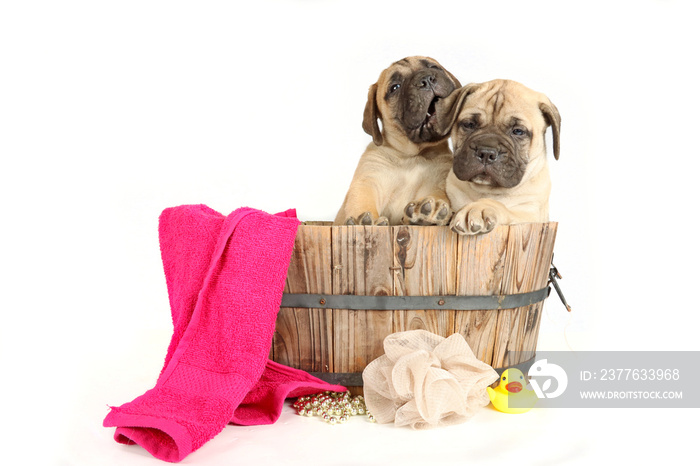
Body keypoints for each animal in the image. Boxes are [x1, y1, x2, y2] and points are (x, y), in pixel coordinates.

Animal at [336, 57, 462, 225]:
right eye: (395, 87)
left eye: (434, 67)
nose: (426, 79)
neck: (411, 155)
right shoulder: (368, 181)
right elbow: (362, 201)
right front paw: (363, 220)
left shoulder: (438, 182)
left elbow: (436, 195)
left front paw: (429, 210)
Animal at [438, 79, 564, 237]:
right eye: (469, 124)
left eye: (518, 131)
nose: (486, 153)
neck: (488, 190)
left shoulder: (530, 214)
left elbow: (501, 206)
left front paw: (479, 209)